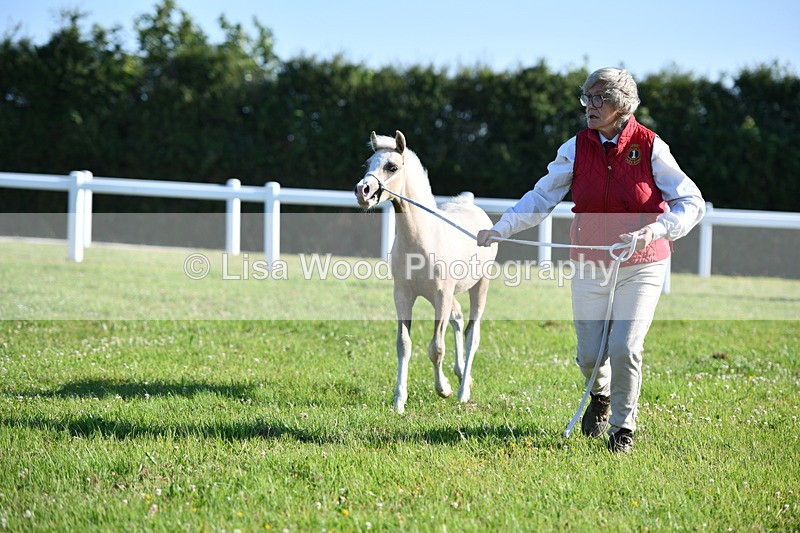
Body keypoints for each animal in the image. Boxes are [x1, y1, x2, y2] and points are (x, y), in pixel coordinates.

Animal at [354, 130, 498, 414]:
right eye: (367, 164)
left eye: (392, 166)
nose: (362, 191)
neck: (422, 239)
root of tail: (470, 204)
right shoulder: (403, 296)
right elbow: (404, 345)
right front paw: (399, 401)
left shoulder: (441, 297)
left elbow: (436, 348)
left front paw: (444, 389)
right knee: (458, 320)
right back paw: (461, 373)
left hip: (479, 287)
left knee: (472, 334)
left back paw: (463, 391)